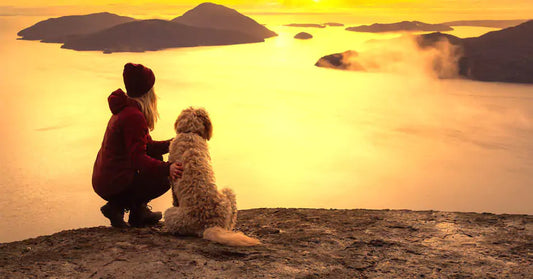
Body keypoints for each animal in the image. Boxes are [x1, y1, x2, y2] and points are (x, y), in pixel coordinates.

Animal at [163, 107, 260, 247]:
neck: (191, 132)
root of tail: (211, 224)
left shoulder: (172, 178)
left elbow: (174, 197)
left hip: (169, 214)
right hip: (229, 193)